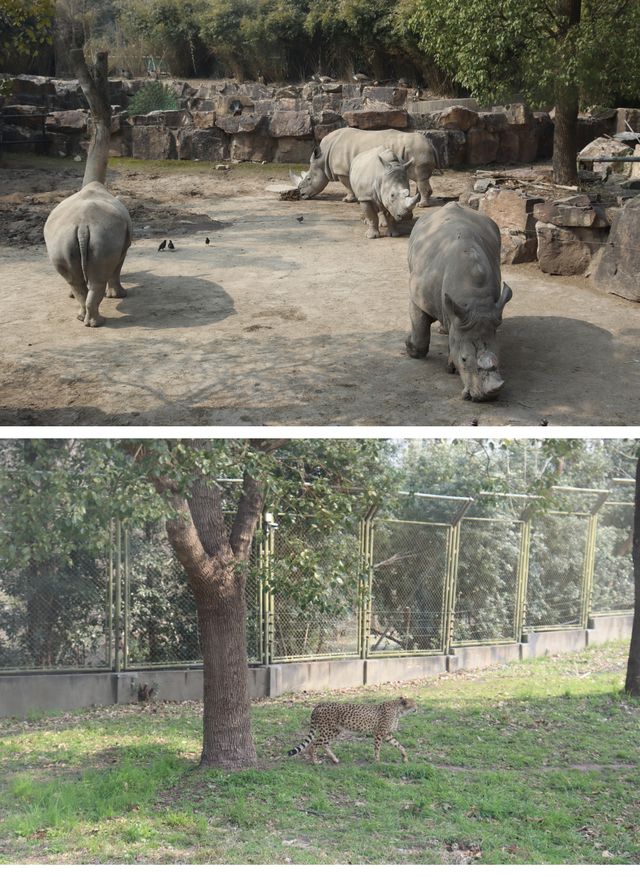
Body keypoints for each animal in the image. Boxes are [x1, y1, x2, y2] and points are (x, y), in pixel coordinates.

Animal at [284, 696, 416, 764]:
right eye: (412, 704)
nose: (417, 708)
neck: (398, 710)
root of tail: (319, 704)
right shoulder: (379, 733)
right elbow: (377, 748)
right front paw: (377, 761)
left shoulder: (387, 734)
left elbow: (399, 745)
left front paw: (404, 757)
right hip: (328, 730)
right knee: (314, 745)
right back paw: (315, 761)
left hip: (334, 730)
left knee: (324, 744)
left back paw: (334, 759)